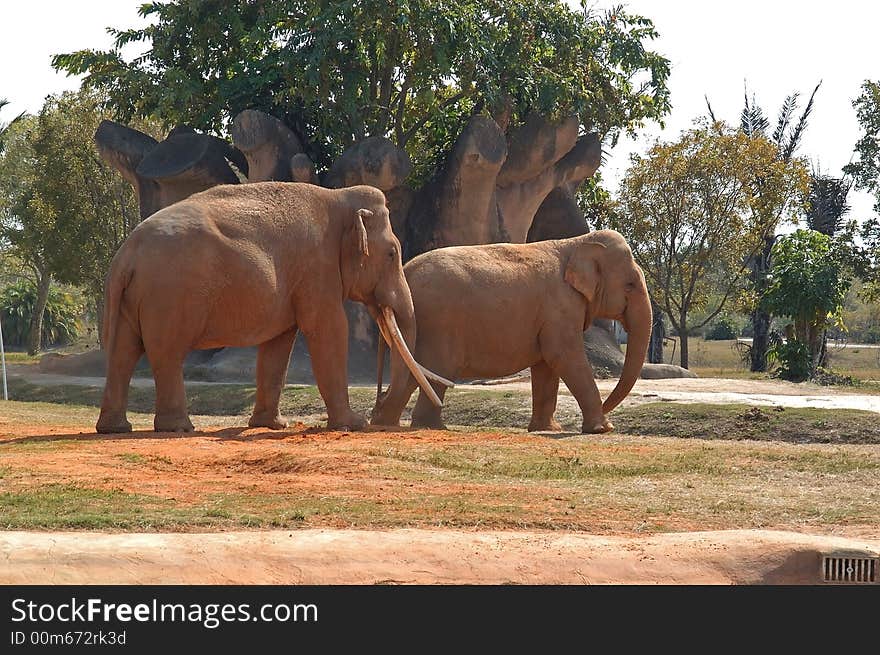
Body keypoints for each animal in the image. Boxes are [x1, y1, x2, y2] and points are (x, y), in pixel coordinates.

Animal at [94, 182, 446, 434]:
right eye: (392, 254)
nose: (376, 415)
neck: (338, 196)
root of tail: (126, 254)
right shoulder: (316, 267)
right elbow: (328, 329)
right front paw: (351, 424)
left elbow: (279, 343)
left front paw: (272, 425)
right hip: (170, 295)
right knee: (167, 355)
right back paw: (179, 428)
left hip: (133, 297)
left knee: (123, 353)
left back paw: (115, 429)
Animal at [368, 231, 648, 436]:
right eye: (630, 285)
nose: (607, 408)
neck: (577, 242)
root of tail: (405, 271)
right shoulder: (561, 307)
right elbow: (562, 356)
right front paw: (603, 429)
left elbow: (546, 365)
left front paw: (546, 429)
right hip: (438, 323)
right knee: (437, 370)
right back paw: (430, 426)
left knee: (414, 373)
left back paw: (384, 421)